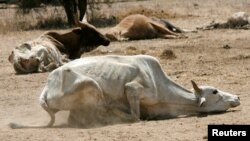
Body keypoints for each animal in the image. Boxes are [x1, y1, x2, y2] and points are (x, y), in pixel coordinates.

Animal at [9, 55, 240, 129]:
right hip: (91, 86)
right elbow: (136, 117)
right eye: (215, 91)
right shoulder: (133, 89)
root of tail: (47, 87)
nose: (237, 97)